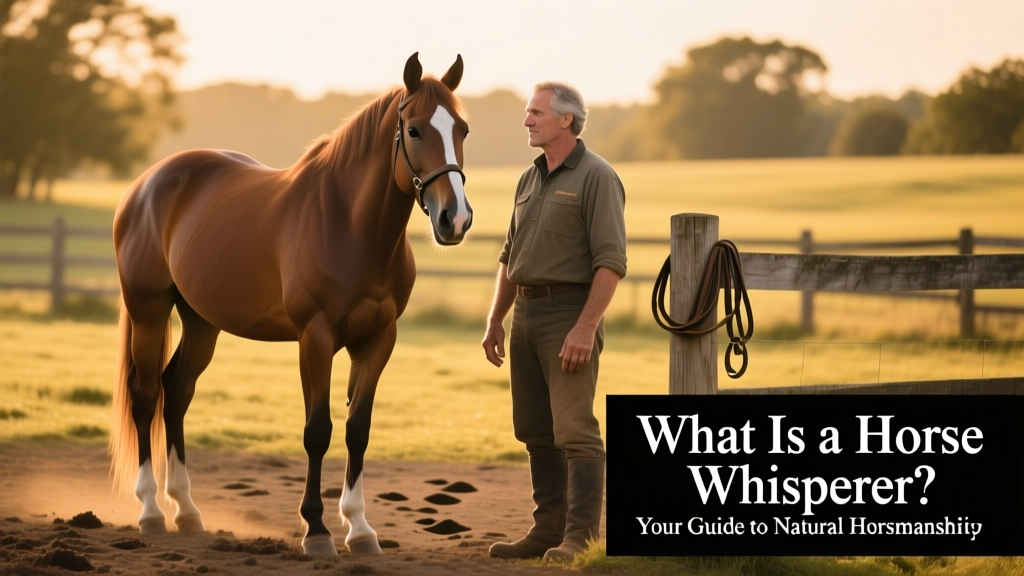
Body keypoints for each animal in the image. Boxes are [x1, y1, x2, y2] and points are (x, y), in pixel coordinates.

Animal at [108, 53, 472, 557]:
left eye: (462, 130)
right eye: (415, 130)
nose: (455, 219)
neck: (351, 227)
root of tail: (145, 184)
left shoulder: (378, 341)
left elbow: (358, 429)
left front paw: (360, 529)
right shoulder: (314, 340)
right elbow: (317, 431)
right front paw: (316, 530)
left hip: (201, 321)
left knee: (176, 393)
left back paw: (186, 510)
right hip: (149, 309)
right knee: (145, 396)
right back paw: (150, 512)